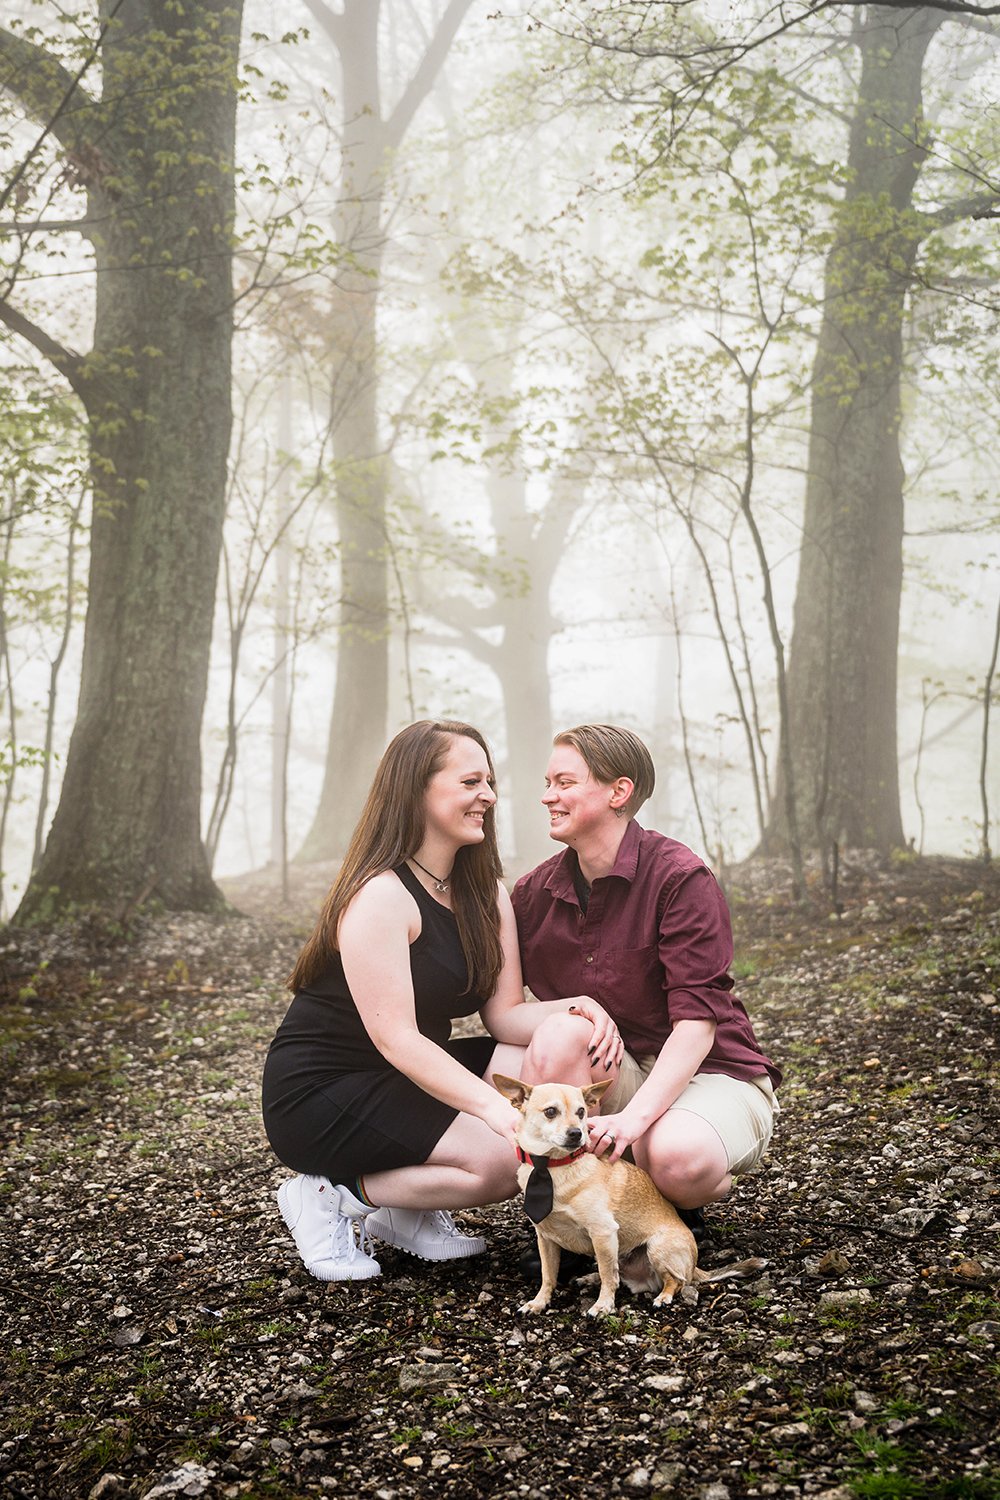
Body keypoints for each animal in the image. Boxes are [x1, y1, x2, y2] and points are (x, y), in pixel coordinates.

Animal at [494, 1080, 767, 1314]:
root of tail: (694, 1264)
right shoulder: (546, 1239)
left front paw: (603, 1306)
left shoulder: (603, 1232)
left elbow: (608, 1275)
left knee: (675, 1280)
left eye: (582, 1112)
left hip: (657, 1248)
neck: (553, 1167)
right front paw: (539, 1302)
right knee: (616, 1272)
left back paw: (663, 1296)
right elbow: (548, 1275)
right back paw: (590, 1278)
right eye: (550, 1112)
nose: (576, 1133)